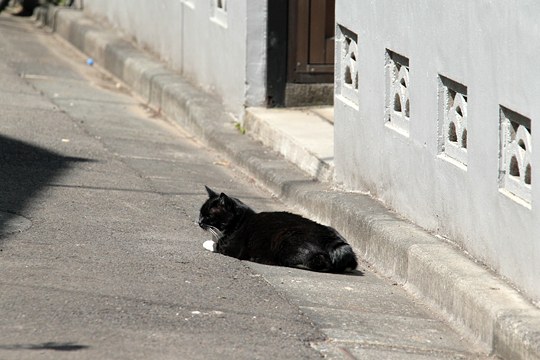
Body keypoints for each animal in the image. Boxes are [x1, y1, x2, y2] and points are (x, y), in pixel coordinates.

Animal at [198, 186, 358, 272]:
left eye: (208, 216)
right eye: (200, 213)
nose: (198, 222)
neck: (239, 221)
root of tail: (332, 240)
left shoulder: (230, 247)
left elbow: (214, 244)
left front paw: (207, 242)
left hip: (287, 238)